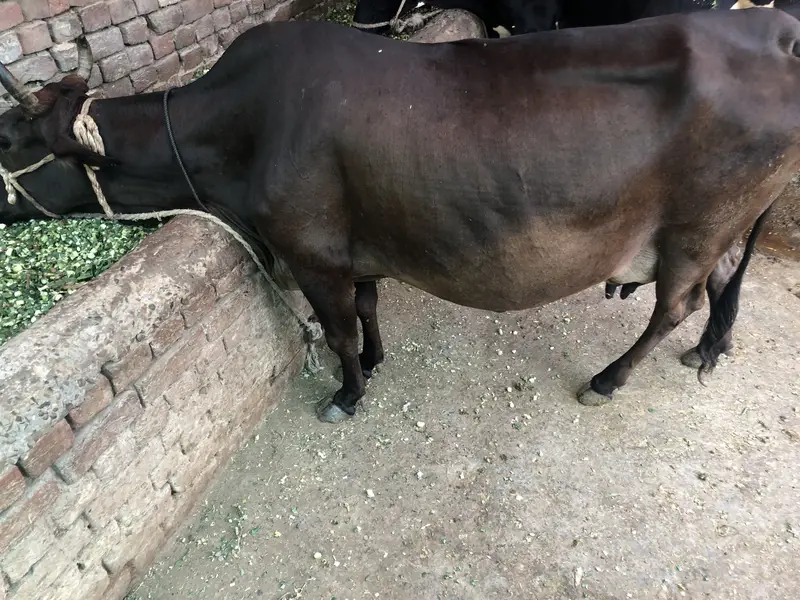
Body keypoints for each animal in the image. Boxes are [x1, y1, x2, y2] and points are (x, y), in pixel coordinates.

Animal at [1, 10, 798, 425]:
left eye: (9, 138)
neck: (237, 130)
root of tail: (772, 31)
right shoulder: (356, 246)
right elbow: (368, 306)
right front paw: (379, 360)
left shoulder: (312, 252)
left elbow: (339, 331)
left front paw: (347, 393)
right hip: (719, 226)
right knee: (724, 281)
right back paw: (711, 351)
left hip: (695, 226)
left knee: (674, 303)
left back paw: (609, 379)